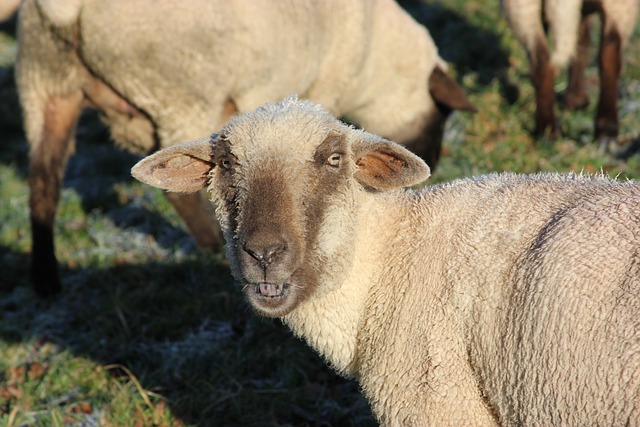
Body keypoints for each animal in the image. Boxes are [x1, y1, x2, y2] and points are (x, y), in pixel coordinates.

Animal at [15, 0, 478, 298]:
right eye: (441, 115)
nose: (434, 164)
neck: (373, 63)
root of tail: (65, 10)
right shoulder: (322, 86)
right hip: (179, 92)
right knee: (178, 189)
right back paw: (207, 248)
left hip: (45, 85)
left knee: (42, 184)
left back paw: (45, 280)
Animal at [502, 0, 636, 144]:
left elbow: (580, 41)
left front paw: (575, 99)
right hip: (620, 6)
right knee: (609, 55)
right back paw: (606, 131)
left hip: (522, 7)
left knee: (540, 62)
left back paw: (547, 131)